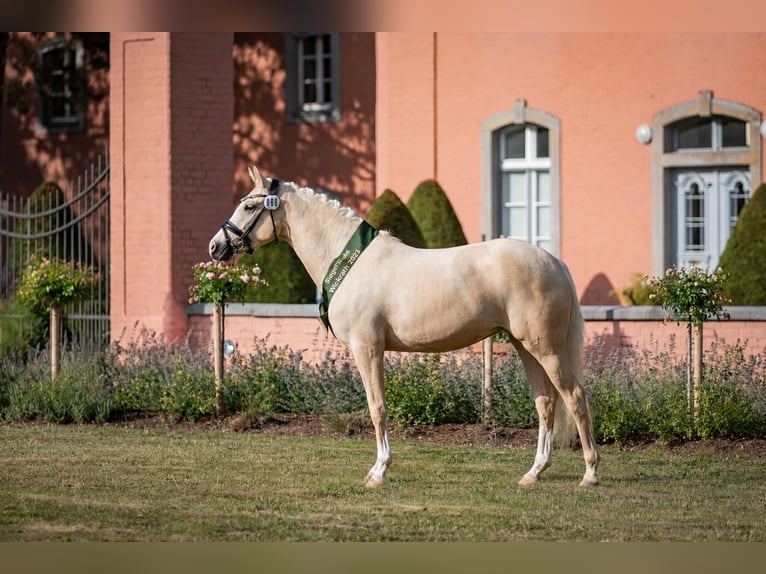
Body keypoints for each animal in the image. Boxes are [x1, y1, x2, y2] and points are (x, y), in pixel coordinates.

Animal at [208, 166, 600, 488]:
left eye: (248, 207)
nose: (216, 246)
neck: (351, 262)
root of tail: (555, 262)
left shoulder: (367, 348)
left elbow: (377, 407)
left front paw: (379, 471)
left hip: (545, 348)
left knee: (574, 397)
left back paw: (590, 473)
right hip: (525, 346)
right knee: (545, 402)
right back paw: (533, 473)